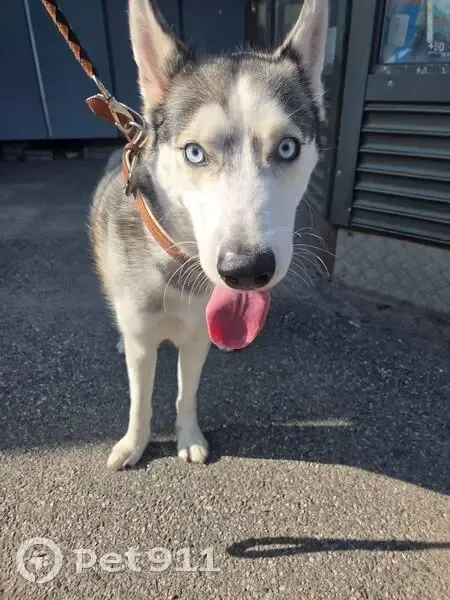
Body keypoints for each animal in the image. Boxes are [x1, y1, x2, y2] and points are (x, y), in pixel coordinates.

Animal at [89, 0, 328, 469]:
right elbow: (140, 399)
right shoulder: (145, 340)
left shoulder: (197, 336)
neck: (176, 267)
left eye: (287, 147)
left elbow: (187, 393)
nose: (247, 270)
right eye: (195, 153)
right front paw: (134, 443)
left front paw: (188, 436)